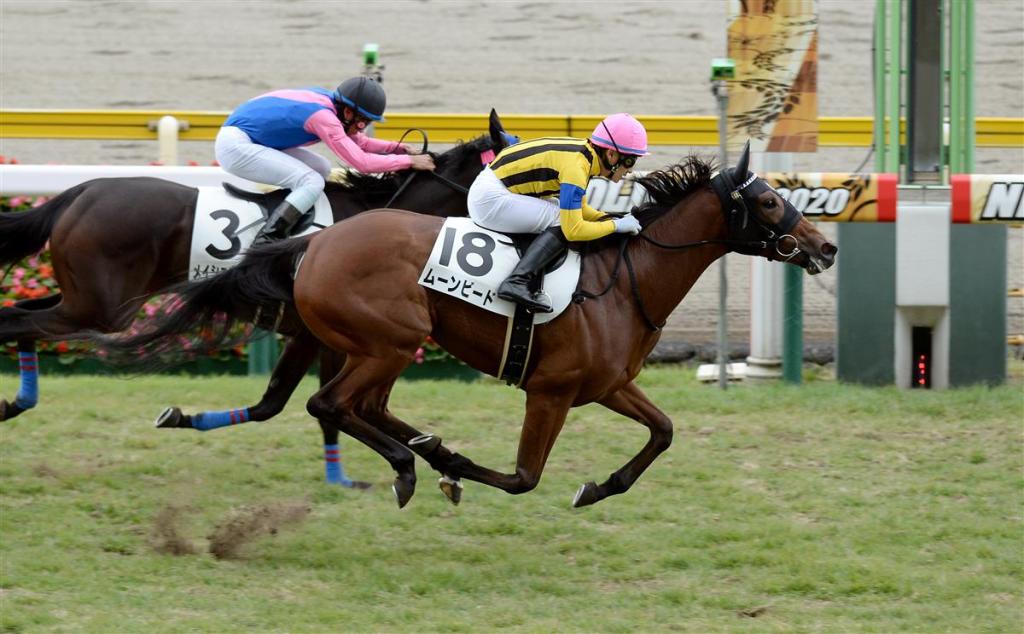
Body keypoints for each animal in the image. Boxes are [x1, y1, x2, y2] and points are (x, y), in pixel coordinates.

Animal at [0, 110, 513, 485]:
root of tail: (80, 191)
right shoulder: (332, 336)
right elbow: (318, 406)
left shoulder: (313, 337)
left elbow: (275, 404)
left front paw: (183, 417)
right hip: (101, 309)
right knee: (16, 320)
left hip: (81, 300)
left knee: (19, 312)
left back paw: (16, 403)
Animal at [93, 141, 837, 507]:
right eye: (768, 202)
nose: (825, 247)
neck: (627, 281)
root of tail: (316, 240)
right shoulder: (552, 391)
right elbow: (523, 477)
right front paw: (456, 471)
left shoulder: (607, 384)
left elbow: (664, 431)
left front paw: (598, 488)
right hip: (389, 340)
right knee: (329, 404)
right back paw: (410, 466)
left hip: (372, 343)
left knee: (346, 406)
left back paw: (422, 448)